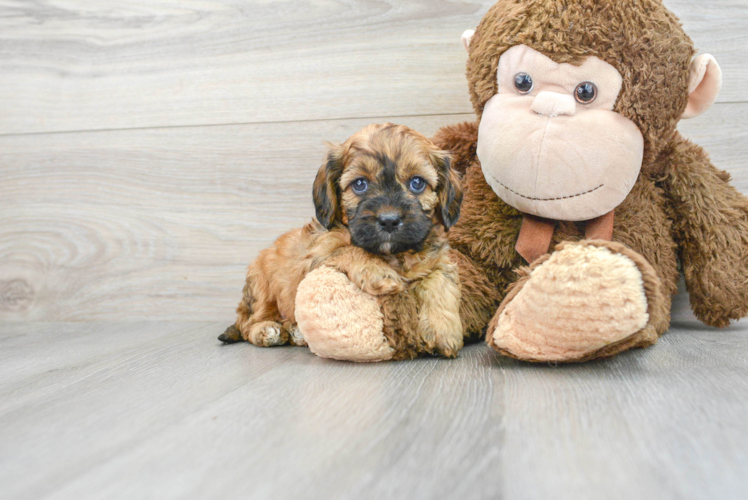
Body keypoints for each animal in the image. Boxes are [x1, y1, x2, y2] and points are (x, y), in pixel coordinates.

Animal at [218, 122, 462, 358]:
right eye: (360, 184)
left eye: (417, 183)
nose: (389, 220)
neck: (394, 254)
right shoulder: (318, 255)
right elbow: (349, 249)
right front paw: (377, 271)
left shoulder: (438, 260)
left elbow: (441, 281)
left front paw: (443, 331)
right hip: (261, 284)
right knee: (248, 323)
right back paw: (267, 330)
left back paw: (296, 333)